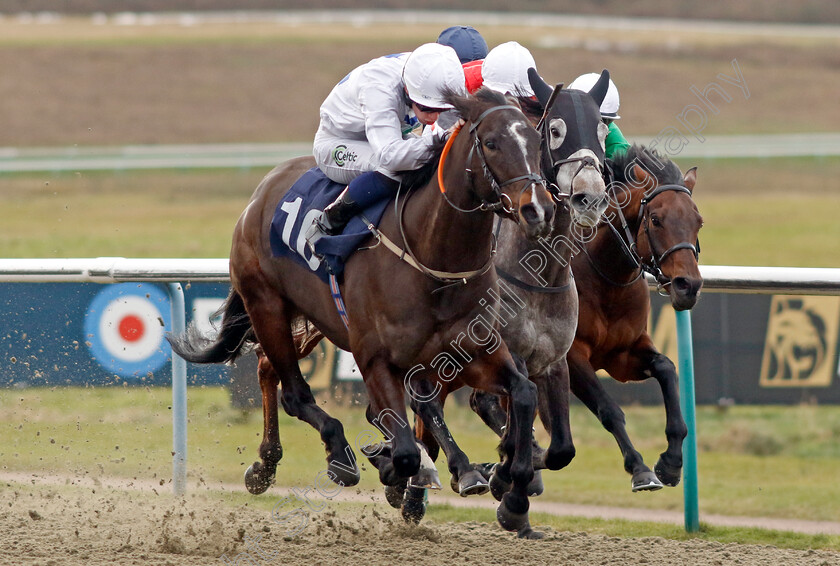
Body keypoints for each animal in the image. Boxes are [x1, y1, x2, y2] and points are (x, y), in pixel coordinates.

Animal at [167, 89, 556, 536]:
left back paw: (267, 464)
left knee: (267, 367)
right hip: (267, 305)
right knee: (294, 392)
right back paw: (333, 455)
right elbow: (404, 447)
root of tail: (261, 192)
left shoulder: (473, 351)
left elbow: (523, 393)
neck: (433, 258)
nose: (538, 210)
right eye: (491, 143)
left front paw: (513, 483)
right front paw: (397, 468)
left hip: (313, 319)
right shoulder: (376, 359)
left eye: (536, 140)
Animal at [572, 145, 704, 492]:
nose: (688, 286)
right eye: (655, 219)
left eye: (699, 221)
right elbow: (608, 409)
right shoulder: (571, 356)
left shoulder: (623, 353)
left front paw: (671, 462)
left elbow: (667, 368)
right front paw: (640, 468)